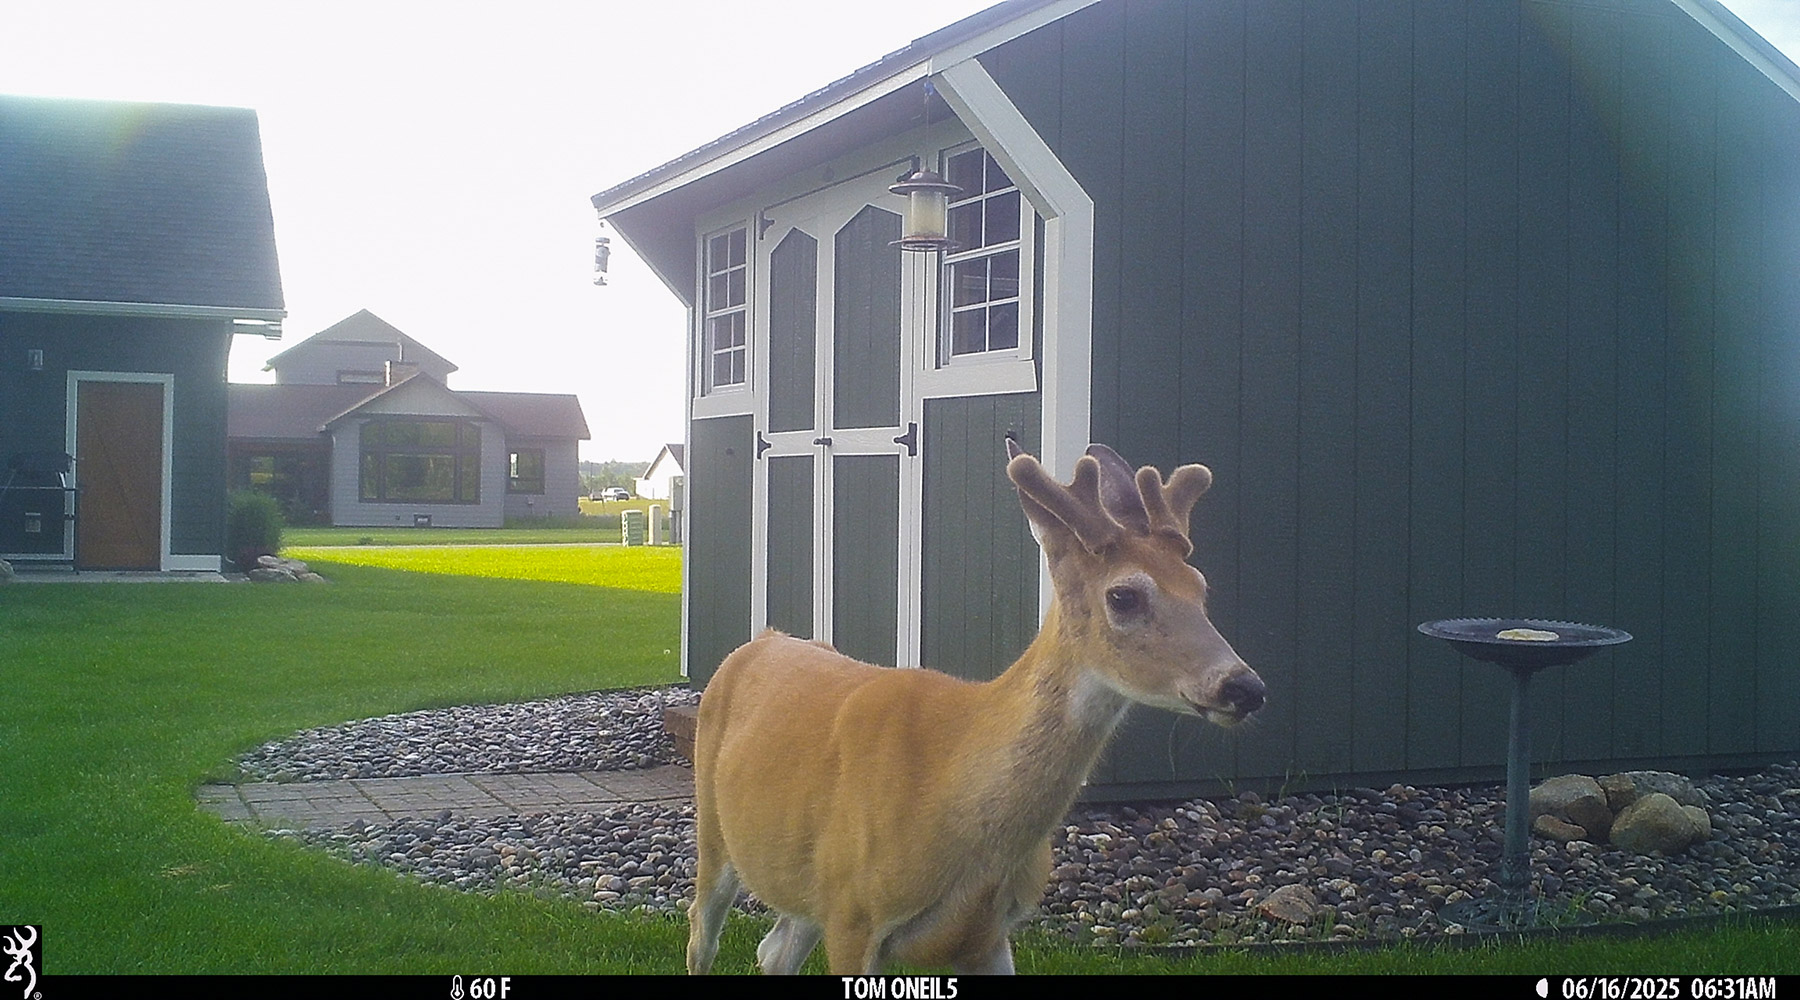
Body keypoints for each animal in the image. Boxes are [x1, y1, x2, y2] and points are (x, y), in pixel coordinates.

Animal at [684, 442, 1266, 975]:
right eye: (1124, 596)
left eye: (1200, 588)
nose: (1245, 686)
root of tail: (763, 638)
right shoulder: (853, 912)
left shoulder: (988, 934)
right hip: (715, 830)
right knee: (701, 935)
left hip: (804, 884)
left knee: (773, 950)